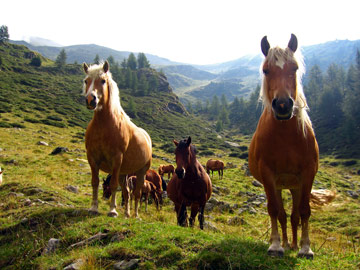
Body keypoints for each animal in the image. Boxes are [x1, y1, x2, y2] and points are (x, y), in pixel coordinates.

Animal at [83, 60, 152, 217]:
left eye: (103, 81)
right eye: (86, 81)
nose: (90, 99)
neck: (104, 126)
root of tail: (147, 137)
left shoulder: (116, 159)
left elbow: (113, 185)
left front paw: (112, 210)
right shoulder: (92, 158)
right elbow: (94, 182)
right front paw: (94, 207)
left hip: (141, 172)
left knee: (137, 194)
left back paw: (136, 215)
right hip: (123, 173)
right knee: (127, 193)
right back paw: (126, 214)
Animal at [249, 34, 320, 258]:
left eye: (294, 68)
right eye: (266, 70)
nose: (282, 105)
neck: (286, 136)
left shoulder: (307, 173)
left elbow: (304, 211)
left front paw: (305, 248)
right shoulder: (268, 174)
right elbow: (274, 211)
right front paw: (275, 245)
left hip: (295, 186)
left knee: (295, 215)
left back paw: (295, 245)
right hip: (279, 185)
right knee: (282, 215)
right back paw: (287, 243)